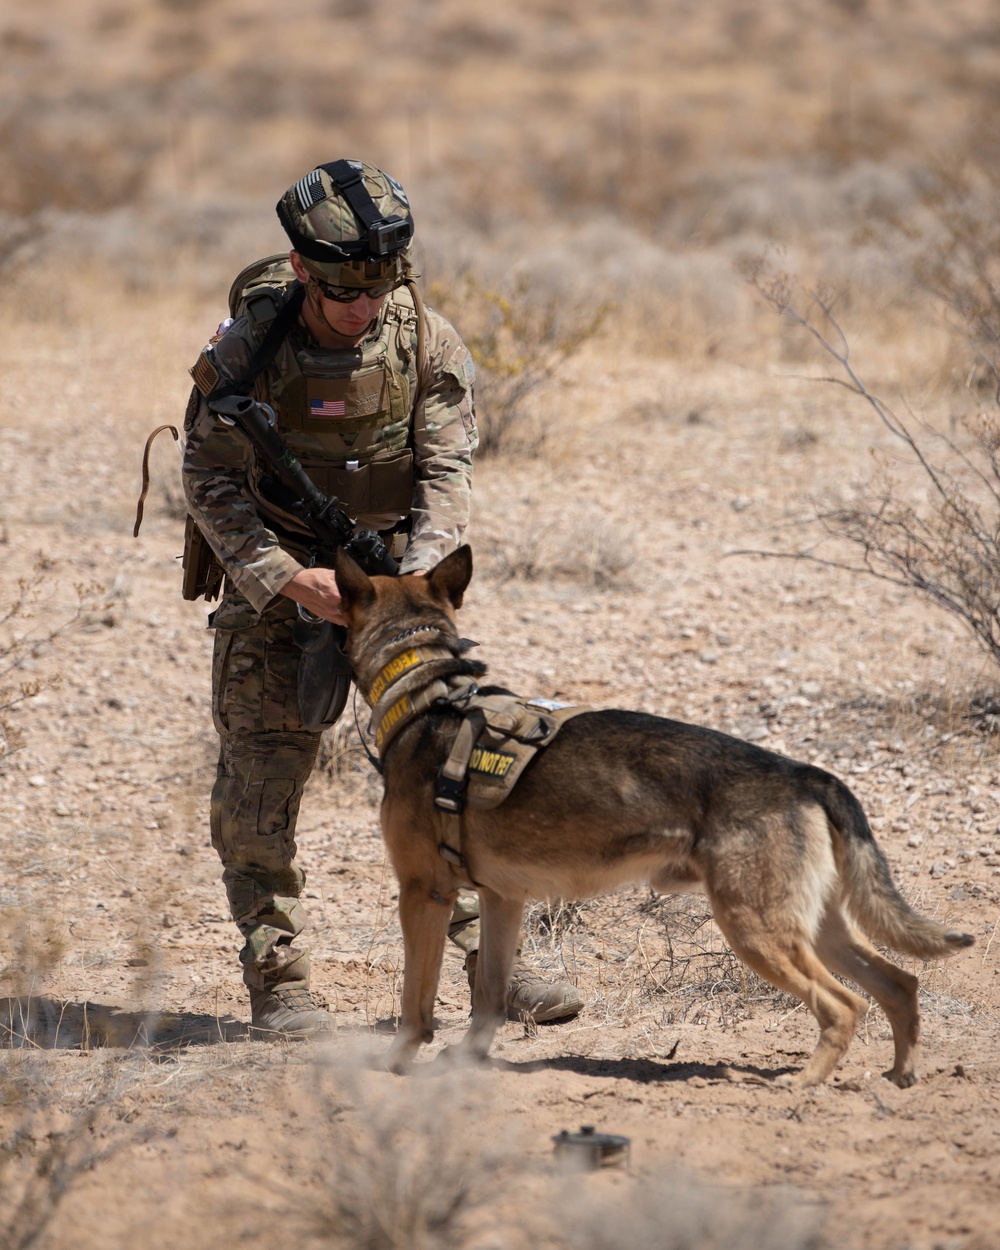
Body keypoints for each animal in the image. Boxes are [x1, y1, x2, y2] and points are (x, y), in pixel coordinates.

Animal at [335, 547, 975, 1085]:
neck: (430, 695)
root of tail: (806, 775)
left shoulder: (423, 893)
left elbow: (415, 1004)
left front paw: (395, 1062)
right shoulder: (501, 898)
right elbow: (489, 997)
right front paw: (467, 1060)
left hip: (755, 930)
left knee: (846, 1004)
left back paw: (804, 1084)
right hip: (815, 926)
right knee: (900, 984)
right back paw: (900, 1076)